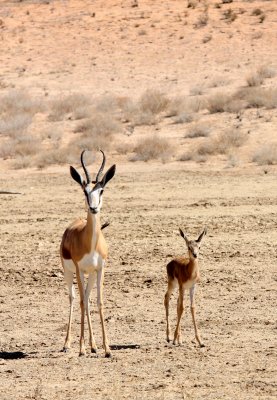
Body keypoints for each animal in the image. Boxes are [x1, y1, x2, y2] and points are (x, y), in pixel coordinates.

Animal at [60, 150, 115, 356]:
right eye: (85, 191)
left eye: (101, 190)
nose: (93, 208)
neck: (90, 244)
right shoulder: (78, 269)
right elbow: (82, 302)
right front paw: (81, 347)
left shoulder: (100, 269)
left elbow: (98, 302)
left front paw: (106, 348)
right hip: (69, 273)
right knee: (74, 298)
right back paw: (68, 344)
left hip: (90, 274)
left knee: (88, 299)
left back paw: (93, 345)